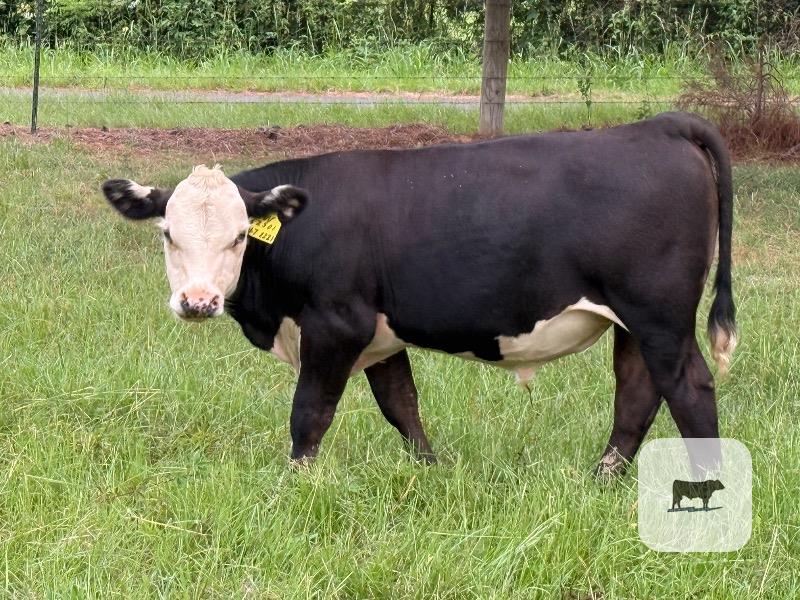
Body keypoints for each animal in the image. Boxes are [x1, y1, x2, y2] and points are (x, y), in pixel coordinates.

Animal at [101, 111, 736, 474]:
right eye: (167, 233)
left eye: (238, 237)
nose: (198, 301)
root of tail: (656, 126)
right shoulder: (380, 335)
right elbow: (402, 406)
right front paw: (432, 472)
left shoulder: (336, 324)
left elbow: (310, 413)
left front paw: (295, 483)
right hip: (634, 323)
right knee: (636, 395)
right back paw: (603, 478)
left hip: (659, 316)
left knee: (689, 390)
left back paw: (708, 487)